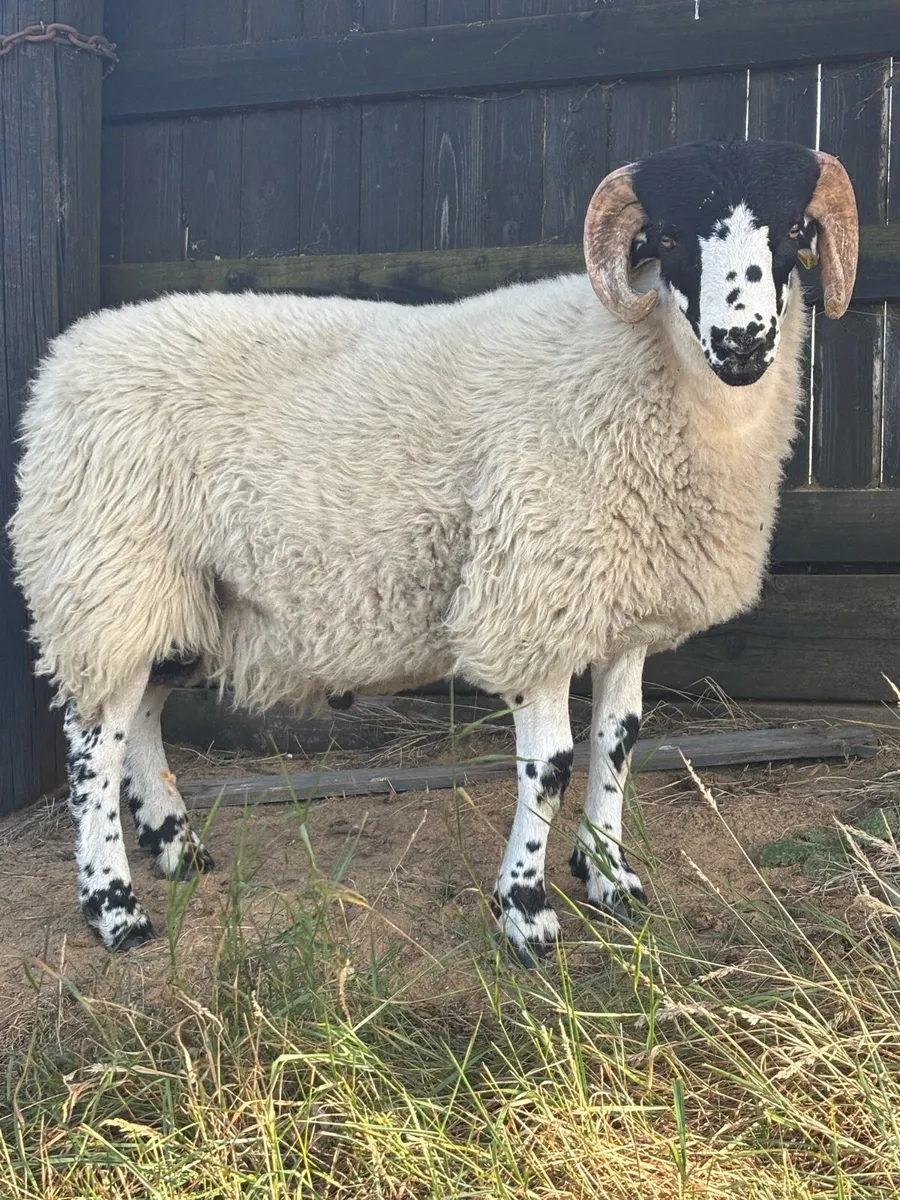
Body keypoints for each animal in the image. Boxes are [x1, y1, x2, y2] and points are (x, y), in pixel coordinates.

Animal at [8, 139, 858, 962]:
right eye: (673, 236)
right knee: (93, 751)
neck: (623, 366)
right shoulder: (531, 600)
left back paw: (178, 850)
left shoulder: (622, 606)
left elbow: (619, 744)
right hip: (106, 574)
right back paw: (115, 910)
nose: (743, 341)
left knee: (143, 717)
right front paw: (526, 911)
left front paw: (610, 877)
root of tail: (66, 358)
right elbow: (551, 764)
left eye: (792, 231)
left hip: (173, 594)